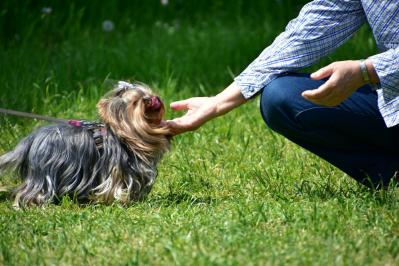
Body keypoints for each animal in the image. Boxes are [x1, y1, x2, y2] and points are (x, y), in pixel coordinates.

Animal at [0, 81, 170, 208]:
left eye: (149, 93)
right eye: (136, 102)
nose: (153, 98)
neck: (127, 139)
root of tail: (30, 139)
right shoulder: (115, 171)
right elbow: (113, 188)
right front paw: (119, 201)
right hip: (43, 173)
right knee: (30, 191)